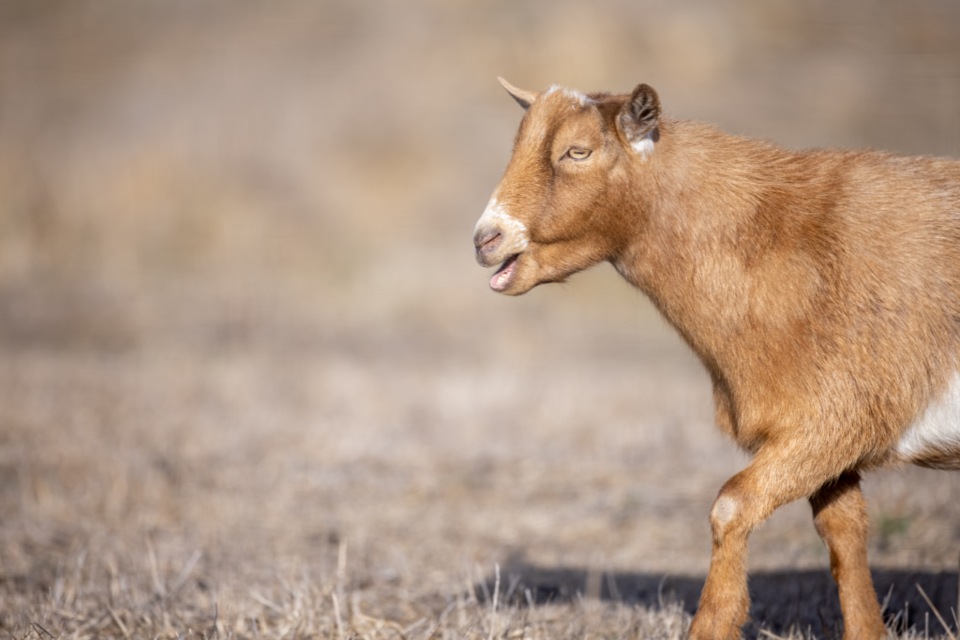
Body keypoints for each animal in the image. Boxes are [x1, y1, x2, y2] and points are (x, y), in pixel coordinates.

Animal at [474, 78, 960, 640]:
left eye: (578, 151)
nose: (486, 240)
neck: (786, 242)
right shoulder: (823, 436)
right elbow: (843, 529)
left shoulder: (837, 417)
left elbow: (730, 505)